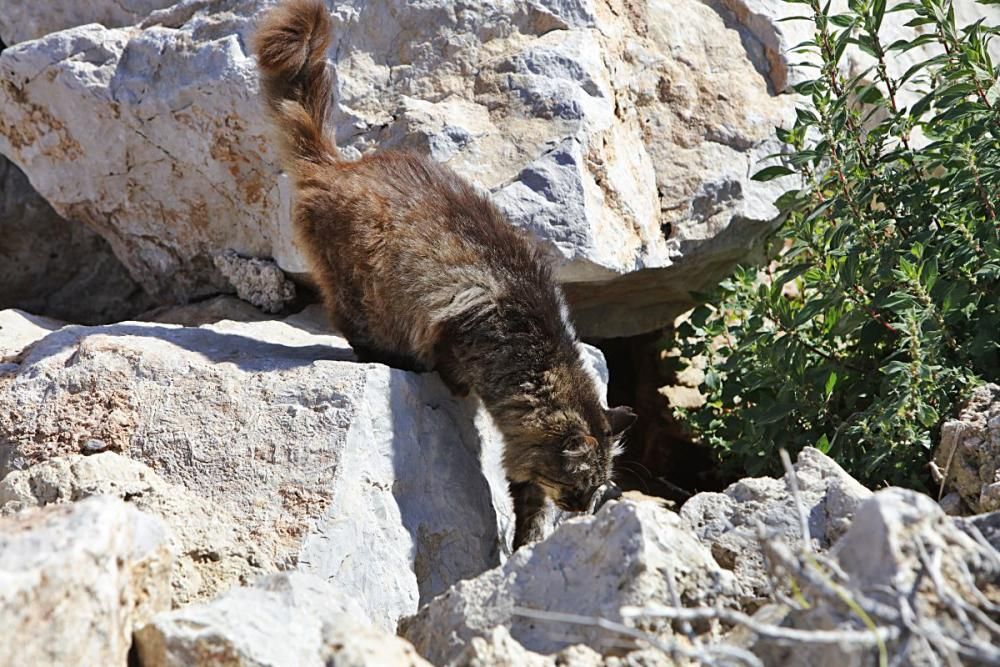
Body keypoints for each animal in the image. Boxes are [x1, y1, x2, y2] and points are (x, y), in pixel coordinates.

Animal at [254, 0, 636, 548]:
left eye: (600, 488)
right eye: (579, 485)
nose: (584, 510)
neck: (531, 350)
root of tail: (338, 167)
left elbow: (528, 504)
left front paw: (528, 546)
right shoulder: (458, 328)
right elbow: (454, 370)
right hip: (365, 281)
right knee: (349, 322)